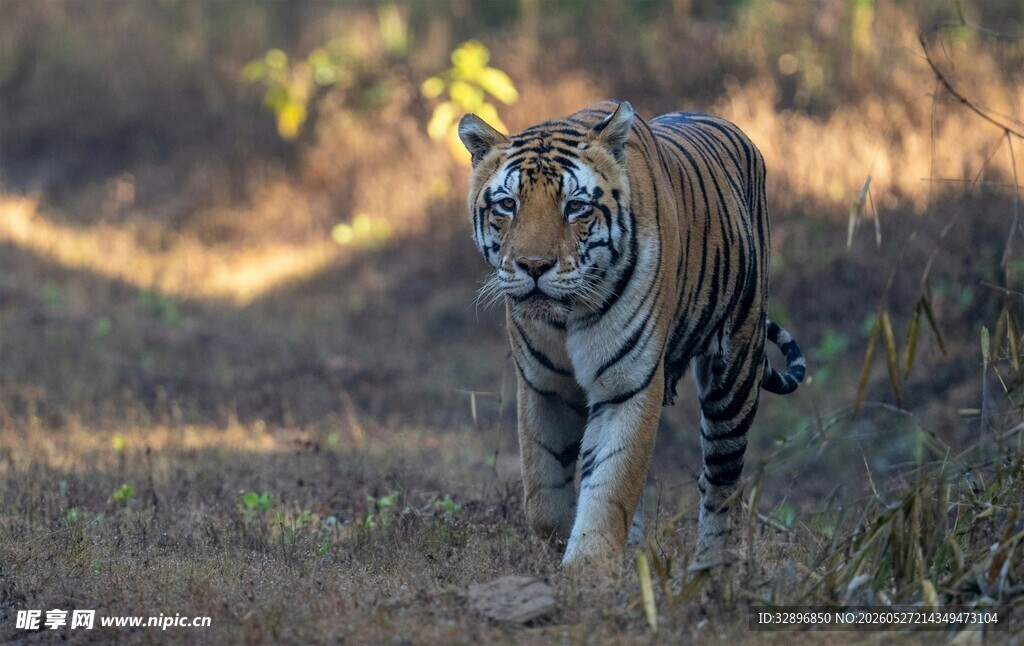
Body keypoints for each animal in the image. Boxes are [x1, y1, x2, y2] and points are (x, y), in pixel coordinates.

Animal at [457, 100, 805, 570]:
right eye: (508, 205)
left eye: (576, 207)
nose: (533, 266)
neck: (565, 318)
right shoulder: (542, 386)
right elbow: (544, 492)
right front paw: (558, 555)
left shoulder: (628, 385)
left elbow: (610, 486)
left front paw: (587, 571)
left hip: (735, 375)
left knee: (721, 485)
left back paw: (710, 570)